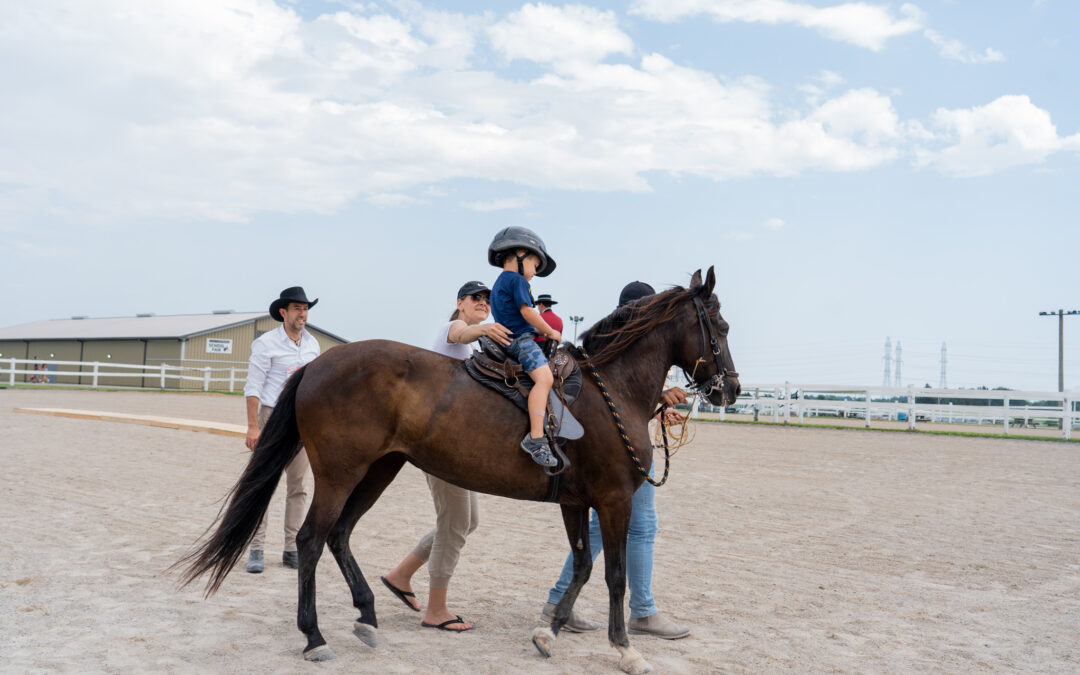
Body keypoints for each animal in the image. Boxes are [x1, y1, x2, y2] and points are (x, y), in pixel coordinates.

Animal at [181, 265, 743, 669]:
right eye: (719, 326)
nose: (732, 390)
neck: (610, 391)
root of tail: (316, 364)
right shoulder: (613, 501)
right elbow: (616, 575)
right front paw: (625, 648)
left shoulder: (575, 501)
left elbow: (583, 567)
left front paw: (548, 631)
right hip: (342, 474)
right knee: (312, 540)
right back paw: (315, 635)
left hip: (379, 470)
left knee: (340, 536)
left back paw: (367, 614)